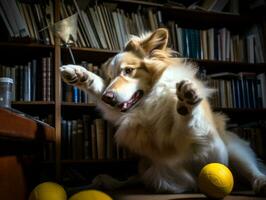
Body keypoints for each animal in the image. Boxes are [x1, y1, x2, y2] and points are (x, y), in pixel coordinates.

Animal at [61, 27, 266, 194]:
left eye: (128, 71)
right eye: (110, 77)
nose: (107, 97)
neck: (150, 104)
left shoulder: (213, 156)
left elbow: (194, 126)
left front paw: (187, 102)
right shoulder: (166, 176)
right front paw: (80, 74)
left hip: (235, 150)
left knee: (251, 169)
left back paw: (261, 181)